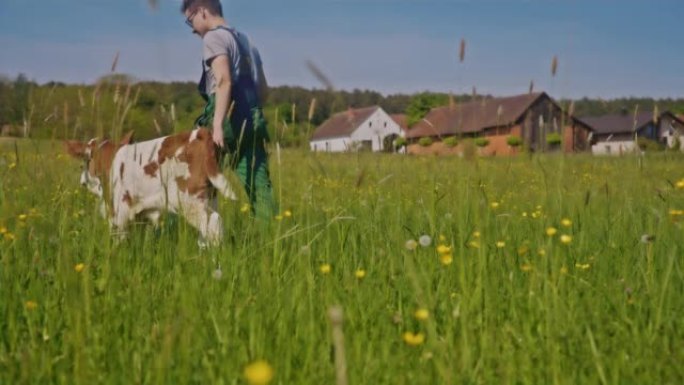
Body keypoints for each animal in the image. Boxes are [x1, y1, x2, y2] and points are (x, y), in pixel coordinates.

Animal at [65, 127, 235, 244]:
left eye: (85, 161)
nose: (82, 181)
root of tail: (200, 132)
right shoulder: (140, 212)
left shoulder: (118, 211)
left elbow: (119, 237)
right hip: (210, 198)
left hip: (190, 201)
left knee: (212, 226)